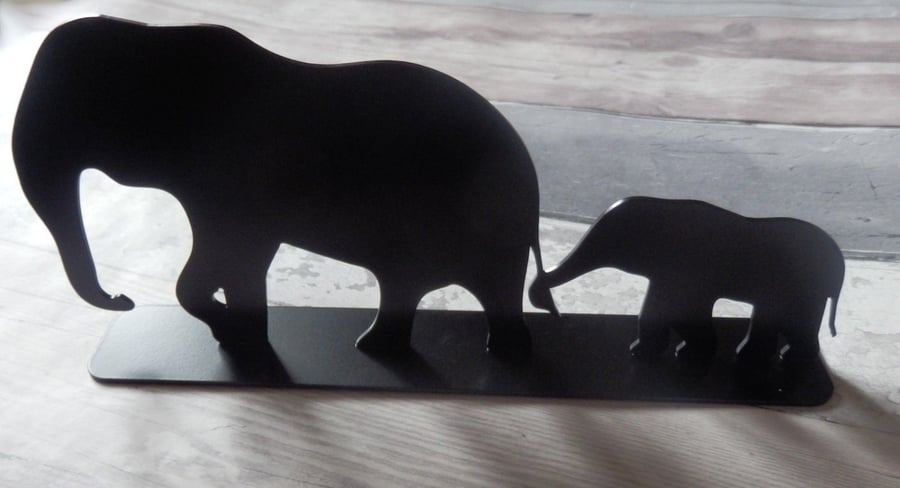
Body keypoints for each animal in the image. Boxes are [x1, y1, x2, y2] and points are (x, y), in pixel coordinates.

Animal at [13, 16, 559, 355]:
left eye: (72, 106)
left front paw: (237, 333)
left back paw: (505, 357)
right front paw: (240, 339)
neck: (158, 40)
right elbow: (234, 259)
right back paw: (376, 349)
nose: (123, 299)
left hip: (487, 229)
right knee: (406, 287)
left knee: (493, 293)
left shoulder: (237, 178)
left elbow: (230, 255)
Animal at [529, 197, 844, 364]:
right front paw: (649, 352)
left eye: (609, 240)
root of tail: (838, 266)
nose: (552, 310)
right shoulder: (669, 274)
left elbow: (682, 311)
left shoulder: (686, 271)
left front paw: (679, 354)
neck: (662, 207)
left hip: (801, 288)